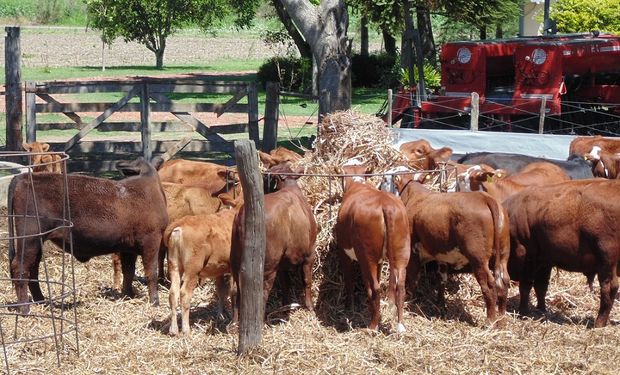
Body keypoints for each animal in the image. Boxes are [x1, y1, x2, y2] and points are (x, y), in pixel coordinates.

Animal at [232, 164, 320, 324]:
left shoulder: (283, 263)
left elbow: (286, 284)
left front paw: (285, 306)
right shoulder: (310, 252)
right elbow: (307, 280)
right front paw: (310, 307)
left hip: (235, 261)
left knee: (236, 289)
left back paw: (235, 322)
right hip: (268, 264)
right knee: (261, 292)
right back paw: (260, 321)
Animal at [334, 162, 412, 334]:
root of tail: (386, 205)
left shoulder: (344, 252)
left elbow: (349, 281)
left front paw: (349, 306)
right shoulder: (380, 260)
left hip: (367, 256)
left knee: (375, 288)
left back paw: (372, 326)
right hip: (401, 252)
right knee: (400, 286)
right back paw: (400, 326)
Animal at [392, 173, 508, 326]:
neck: (415, 197)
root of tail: (485, 198)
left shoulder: (413, 251)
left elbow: (412, 278)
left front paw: (410, 300)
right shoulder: (443, 257)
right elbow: (442, 280)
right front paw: (440, 304)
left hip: (478, 258)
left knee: (489, 284)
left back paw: (490, 321)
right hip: (503, 255)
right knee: (503, 282)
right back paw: (501, 320)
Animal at [502, 178, 620, 328]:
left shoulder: (527, 255)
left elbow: (525, 286)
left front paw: (523, 312)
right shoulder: (544, 261)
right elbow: (541, 287)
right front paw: (541, 310)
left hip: (607, 262)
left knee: (609, 288)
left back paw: (598, 323)